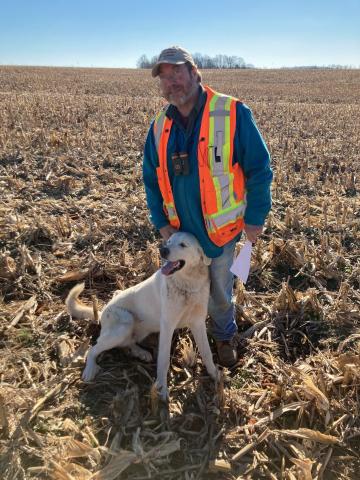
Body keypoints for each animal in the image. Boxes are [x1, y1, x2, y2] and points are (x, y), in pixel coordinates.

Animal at [65, 232, 218, 402]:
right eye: (169, 242)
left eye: (183, 245)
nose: (162, 250)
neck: (188, 284)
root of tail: (103, 309)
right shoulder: (167, 325)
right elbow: (163, 360)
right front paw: (162, 388)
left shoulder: (198, 322)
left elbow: (206, 352)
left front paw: (215, 374)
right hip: (124, 324)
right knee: (94, 348)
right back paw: (90, 369)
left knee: (127, 343)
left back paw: (141, 352)